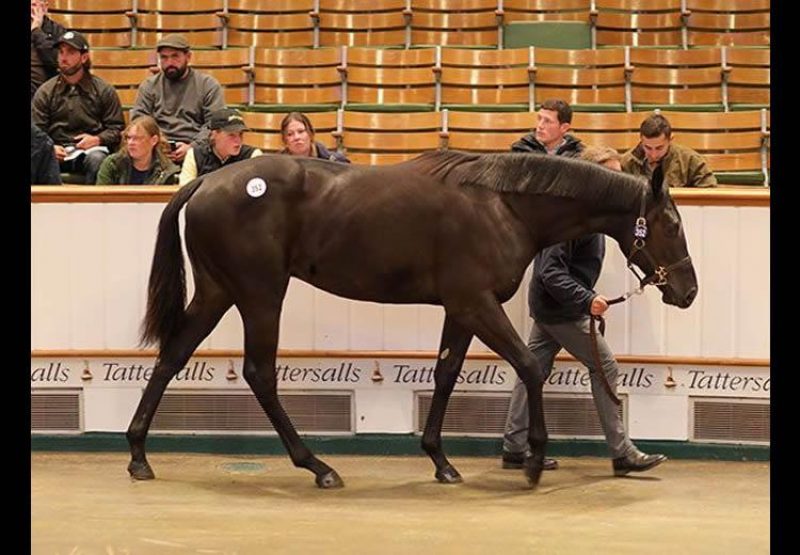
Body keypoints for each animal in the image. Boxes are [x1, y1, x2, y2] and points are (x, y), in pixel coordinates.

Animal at [125, 150, 692, 488]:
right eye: (670, 224)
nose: (688, 291)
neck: (503, 206)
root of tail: (205, 183)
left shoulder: (461, 309)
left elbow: (445, 374)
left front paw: (440, 460)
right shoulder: (477, 304)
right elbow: (531, 369)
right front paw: (532, 460)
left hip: (218, 292)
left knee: (173, 355)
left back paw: (138, 455)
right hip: (261, 295)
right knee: (259, 373)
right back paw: (317, 466)